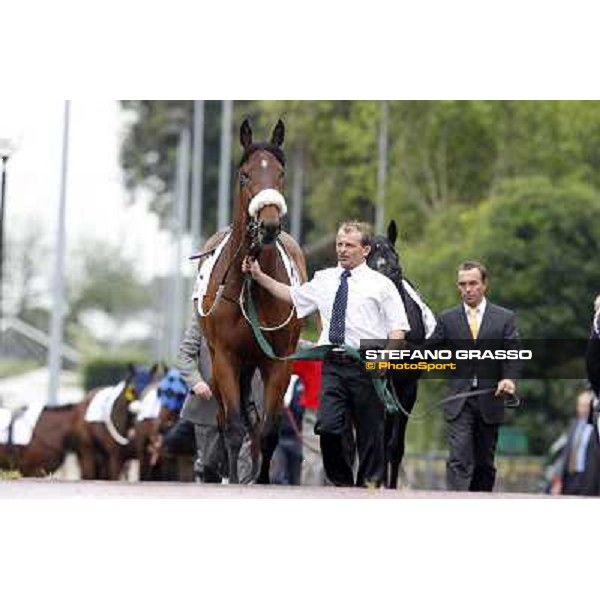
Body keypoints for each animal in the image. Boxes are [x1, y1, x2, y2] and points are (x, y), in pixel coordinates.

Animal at [197, 119, 308, 486]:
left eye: (280, 174)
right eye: (245, 175)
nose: (270, 224)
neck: (249, 285)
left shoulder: (278, 361)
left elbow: (269, 431)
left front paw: (262, 480)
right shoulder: (226, 357)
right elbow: (233, 427)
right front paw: (232, 477)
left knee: (256, 425)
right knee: (225, 419)